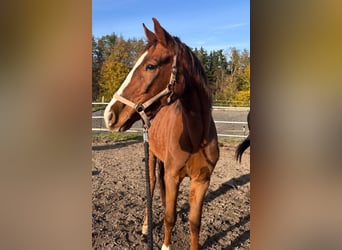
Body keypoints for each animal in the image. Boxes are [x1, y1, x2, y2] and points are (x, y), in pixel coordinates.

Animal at [103, 18, 219, 250]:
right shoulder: (173, 176)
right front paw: (165, 245)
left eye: (150, 66)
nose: (109, 115)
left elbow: (194, 223)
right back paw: (146, 225)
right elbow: (169, 217)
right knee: (153, 184)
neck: (196, 137)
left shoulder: (202, 180)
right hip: (151, 157)